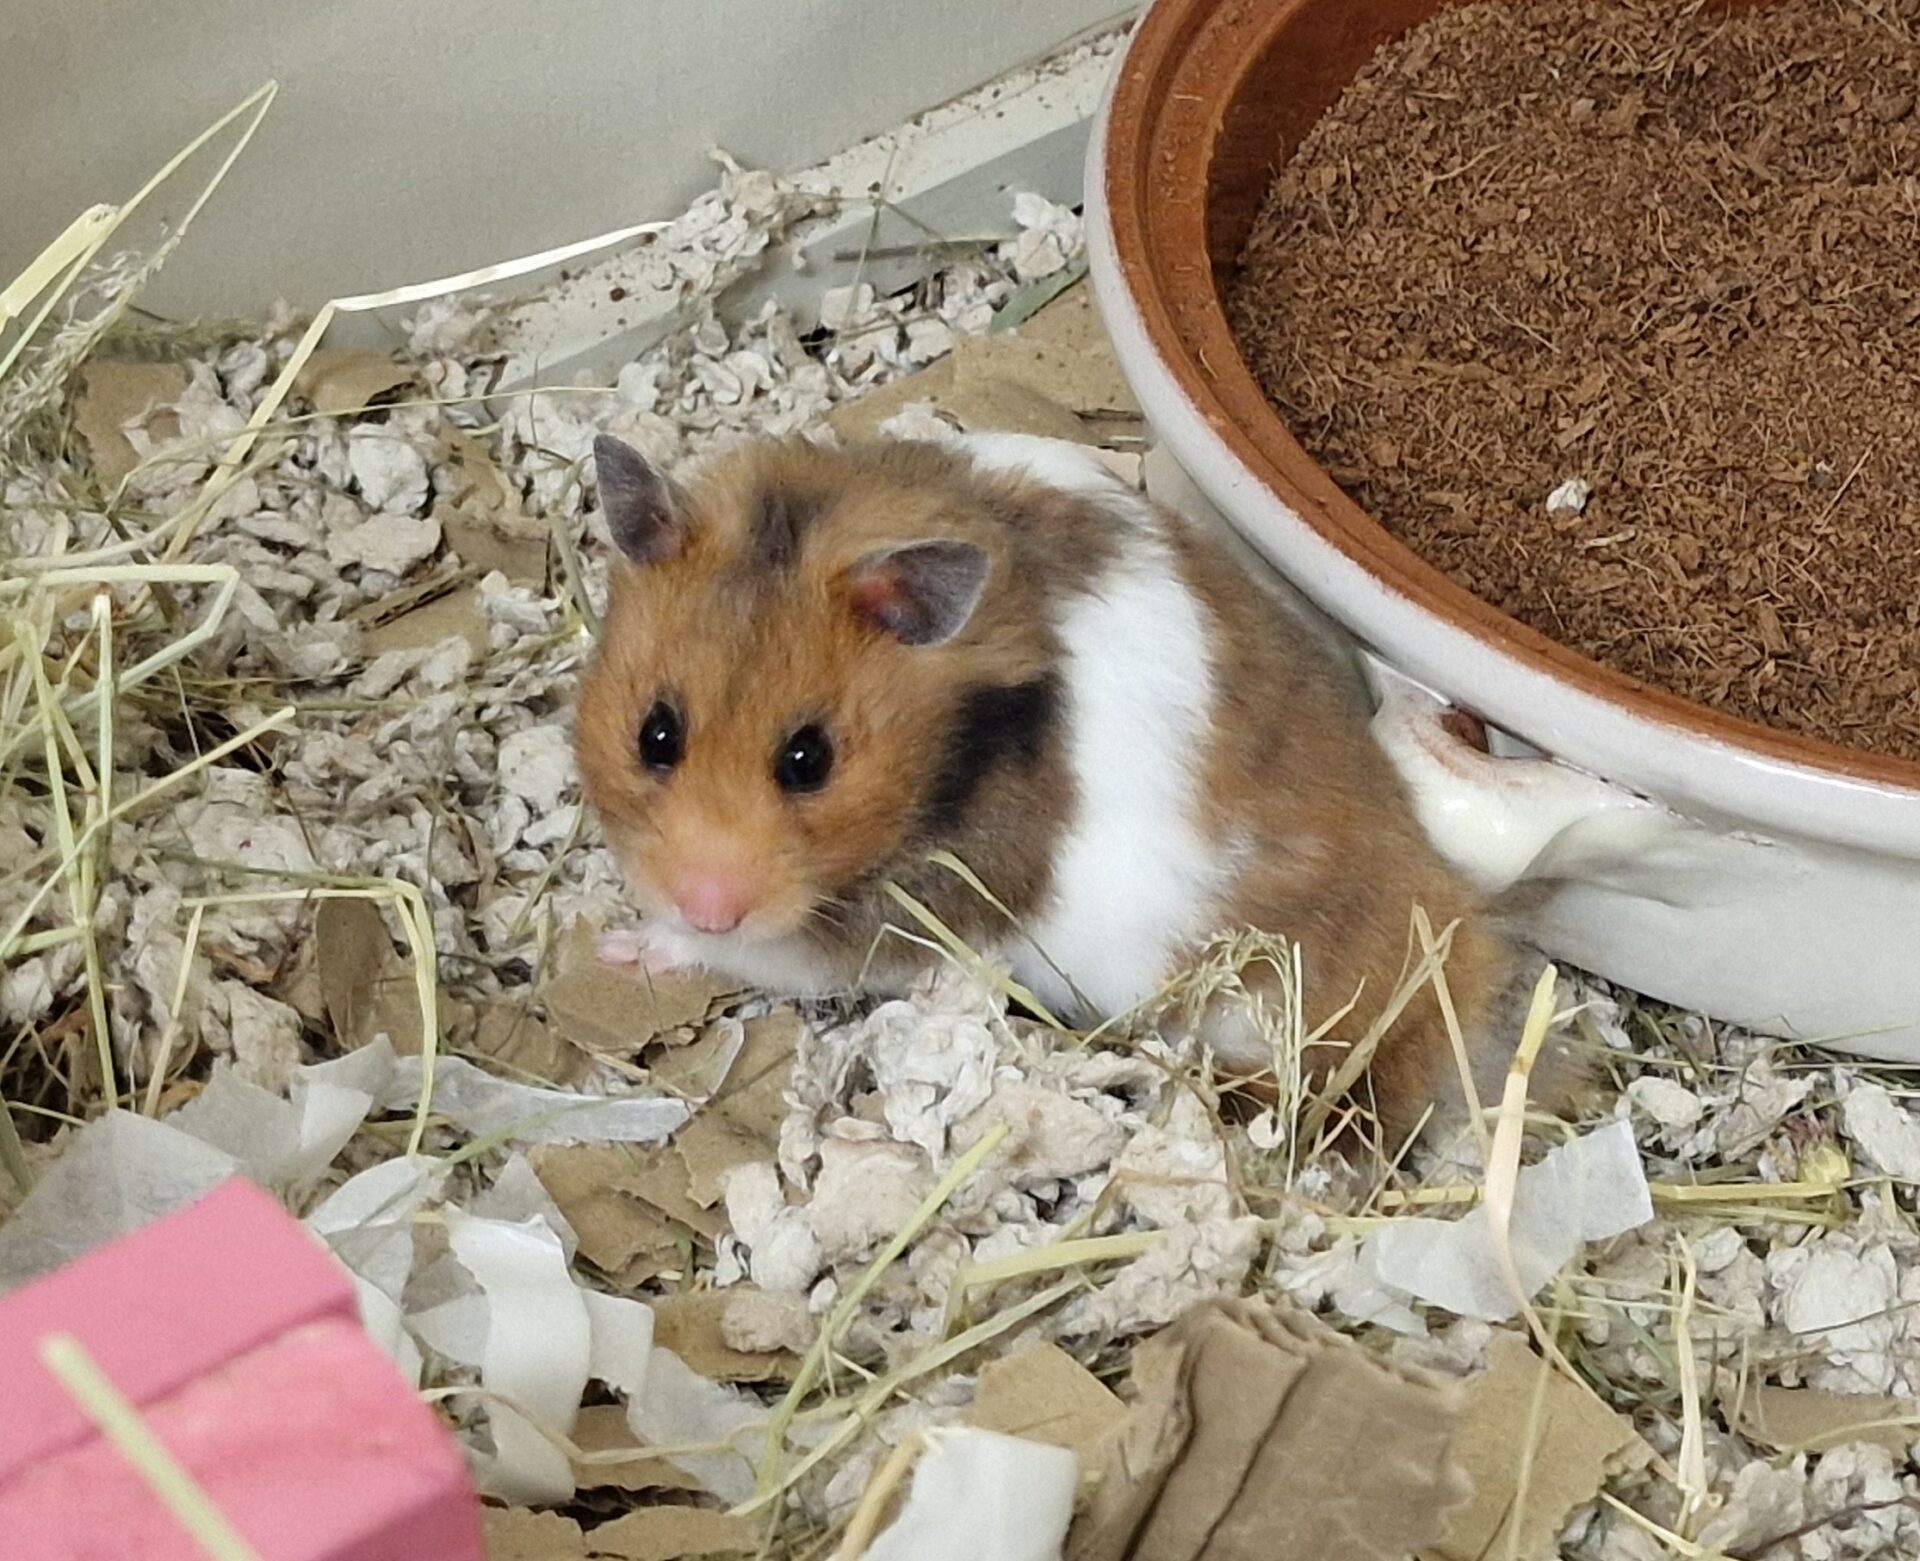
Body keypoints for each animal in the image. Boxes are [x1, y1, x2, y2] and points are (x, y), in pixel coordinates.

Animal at [573, 428, 1549, 1144]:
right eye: (655, 734)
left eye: (809, 759)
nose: (705, 904)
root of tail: (1450, 956)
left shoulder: (904, 923)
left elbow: (764, 954)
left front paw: (625, 944)